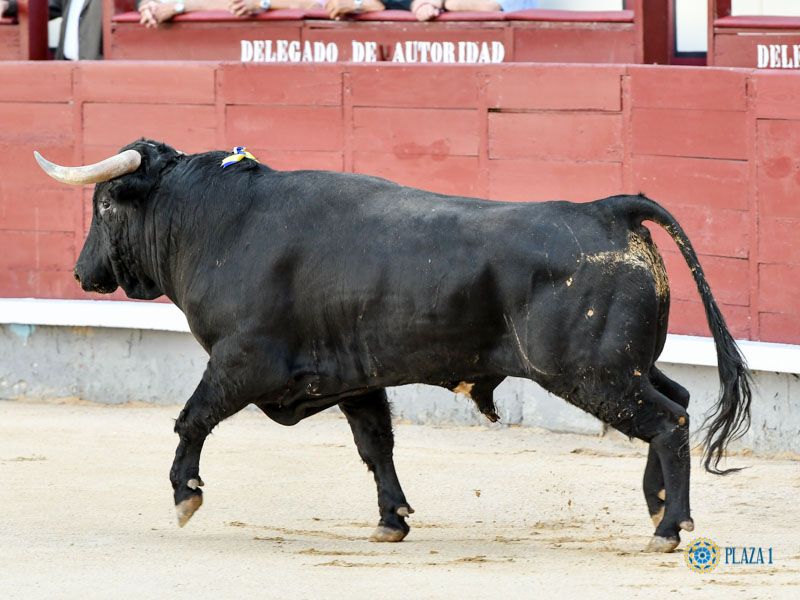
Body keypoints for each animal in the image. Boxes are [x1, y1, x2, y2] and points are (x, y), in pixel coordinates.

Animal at [34, 139, 752, 552]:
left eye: (105, 207)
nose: (81, 273)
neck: (219, 223)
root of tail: (610, 207)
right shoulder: (354, 376)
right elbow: (375, 446)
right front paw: (392, 519)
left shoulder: (241, 361)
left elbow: (191, 418)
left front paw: (186, 496)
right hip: (626, 366)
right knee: (677, 401)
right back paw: (656, 508)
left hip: (592, 373)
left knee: (669, 421)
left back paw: (669, 528)